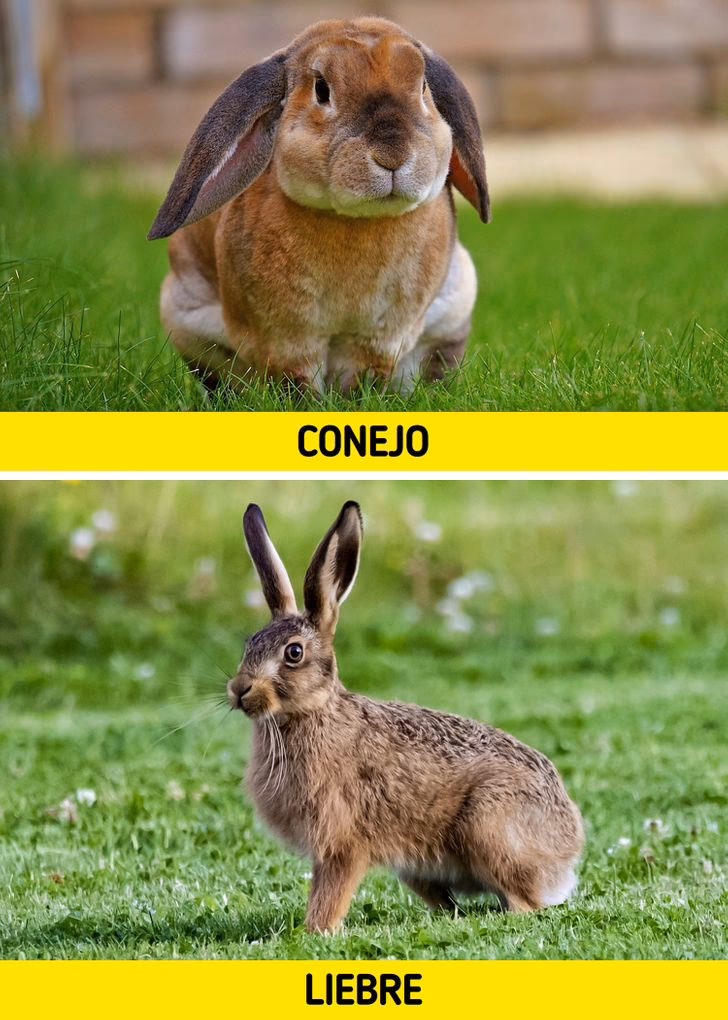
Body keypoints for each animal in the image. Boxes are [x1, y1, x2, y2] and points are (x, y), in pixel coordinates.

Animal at [148, 17, 489, 395]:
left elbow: (363, 375)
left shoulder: (379, 338)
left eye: (423, 86)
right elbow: (297, 379)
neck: (357, 220)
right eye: (322, 90)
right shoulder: (287, 338)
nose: (392, 155)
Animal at [228, 501, 584, 934]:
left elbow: (329, 895)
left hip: (489, 828)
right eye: (249, 644)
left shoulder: (342, 843)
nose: (239, 690)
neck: (311, 713)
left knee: (523, 903)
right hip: (418, 870)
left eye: (293, 653)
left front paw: (316, 931)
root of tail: (568, 847)